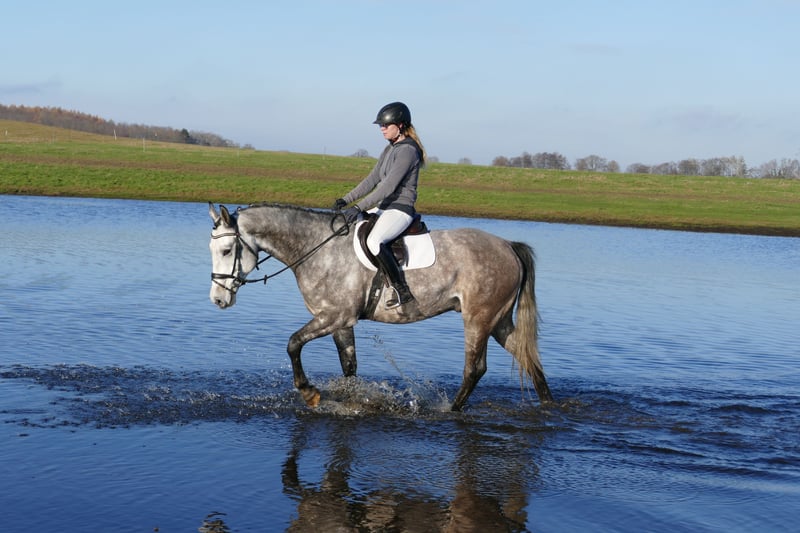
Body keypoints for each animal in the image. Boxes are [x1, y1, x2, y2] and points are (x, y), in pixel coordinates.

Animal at [208, 202, 553, 411]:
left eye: (226, 250)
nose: (218, 299)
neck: (317, 248)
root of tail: (507, 246)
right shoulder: (341, 322)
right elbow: (349, 366)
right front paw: (349, 401)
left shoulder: (333, 317)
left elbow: (293, 344)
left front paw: (309, 392)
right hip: (498, 321)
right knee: (527, 357)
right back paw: (548, 404)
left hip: (478, 319)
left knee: (475, 368)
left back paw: (451, 410)